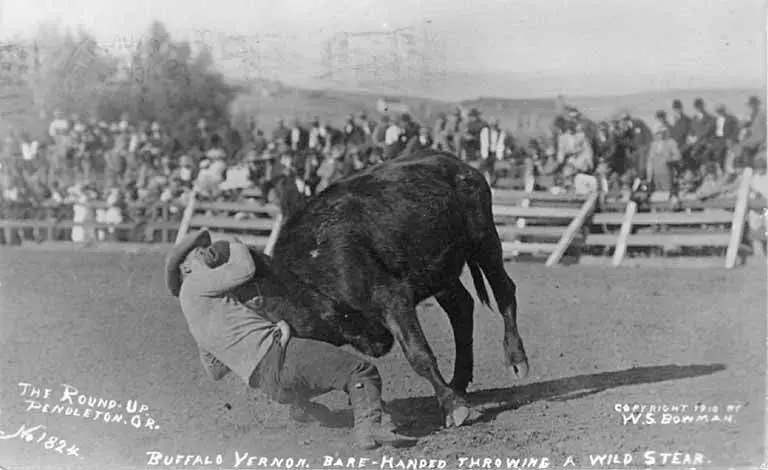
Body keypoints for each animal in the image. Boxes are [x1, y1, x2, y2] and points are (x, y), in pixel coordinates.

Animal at [230, 151, 530, 428]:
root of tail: (460, 165)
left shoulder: (393, 298)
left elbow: (418, 354)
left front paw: (452, 407)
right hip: (441, 272)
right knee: (461, 308)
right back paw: (458, 381)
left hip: (484, 241)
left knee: (504, 292)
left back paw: (515, 360)